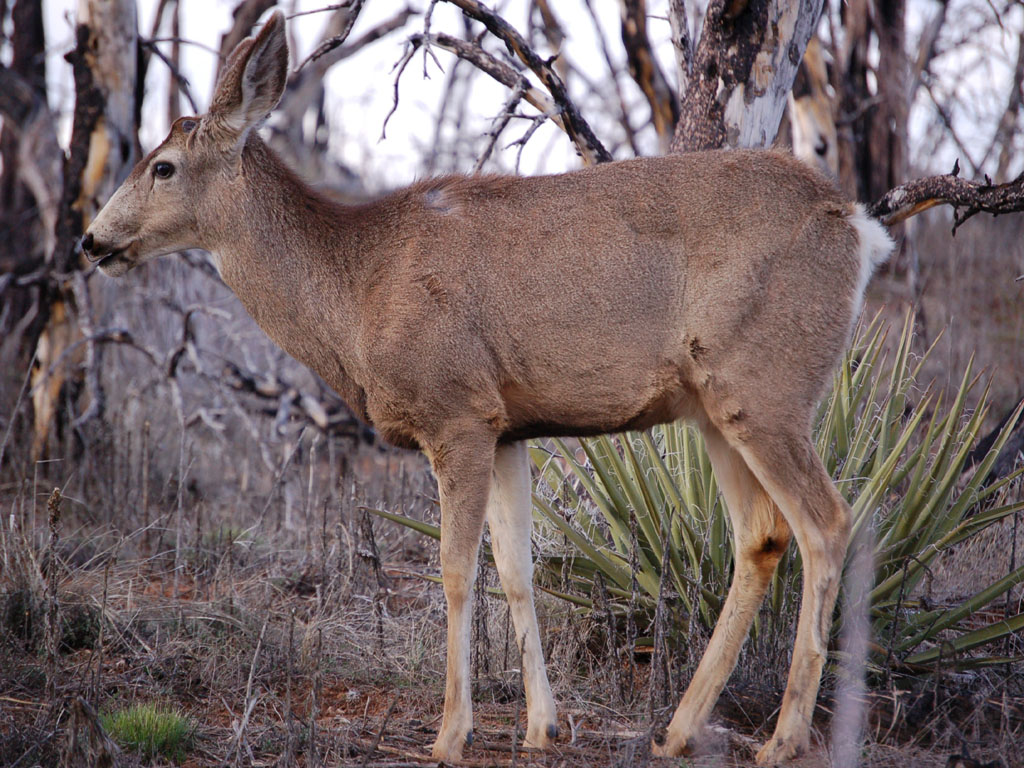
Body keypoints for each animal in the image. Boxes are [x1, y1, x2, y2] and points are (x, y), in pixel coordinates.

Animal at [83, 9, 892, 765]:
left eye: (162, 166)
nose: (92, 240)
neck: (355, 288)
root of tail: (856, 224)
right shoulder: (507, 427)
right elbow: (516, 571)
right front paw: (541, 727)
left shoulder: (456, 412)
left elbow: (453, 572)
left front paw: (451, 733)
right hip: (714, 409)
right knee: (761, 534)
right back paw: (678, 729)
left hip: (767, 385)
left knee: (827, 522)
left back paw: (783, 737)